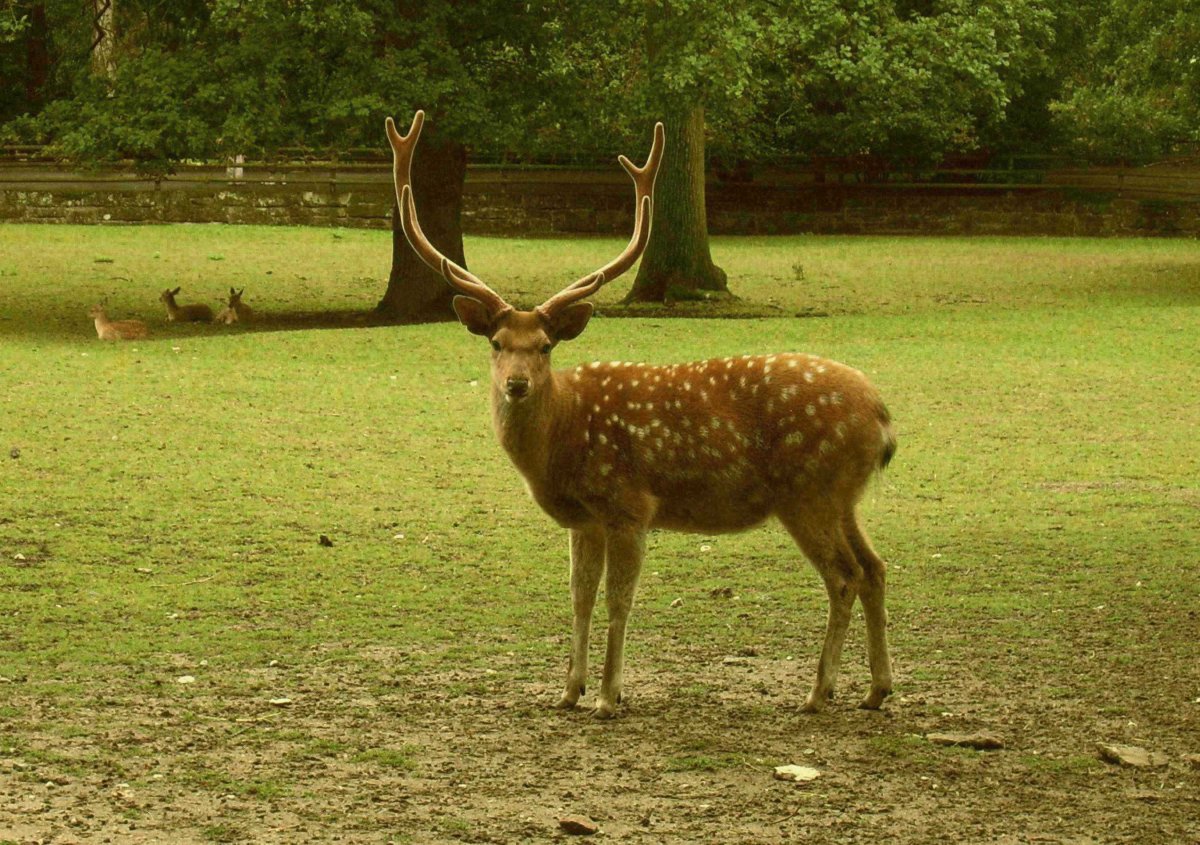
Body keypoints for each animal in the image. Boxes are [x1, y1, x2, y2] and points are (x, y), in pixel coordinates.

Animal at [386, 110, 897, 718]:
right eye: (495, 342)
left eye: (545, 346)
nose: (516, 384)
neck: (562, 442)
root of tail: (883, 416)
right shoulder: (584, 519)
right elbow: (579, 598)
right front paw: (569, 691)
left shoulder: (629, 504)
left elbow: (618, 601)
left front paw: (609, 696)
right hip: (844, 497)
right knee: (875, 567)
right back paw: (876, 689)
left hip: (809, 491)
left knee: (844, 576)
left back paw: (819, 692)